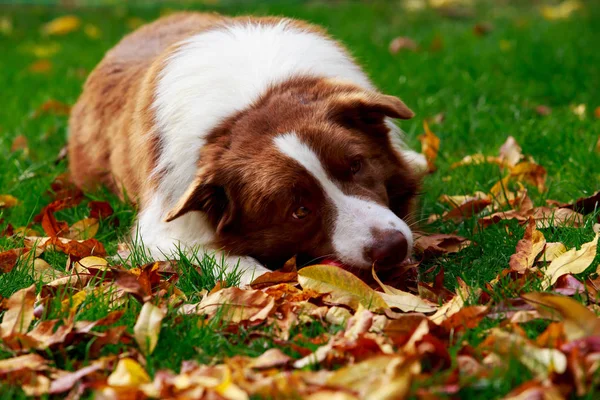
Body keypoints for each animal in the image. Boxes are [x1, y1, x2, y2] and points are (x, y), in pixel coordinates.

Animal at [68, 11, 424, 284]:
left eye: (356, 165)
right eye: (299, 211)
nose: (391, 247)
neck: (254, 102)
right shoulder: (156, 232)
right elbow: (215, 253)